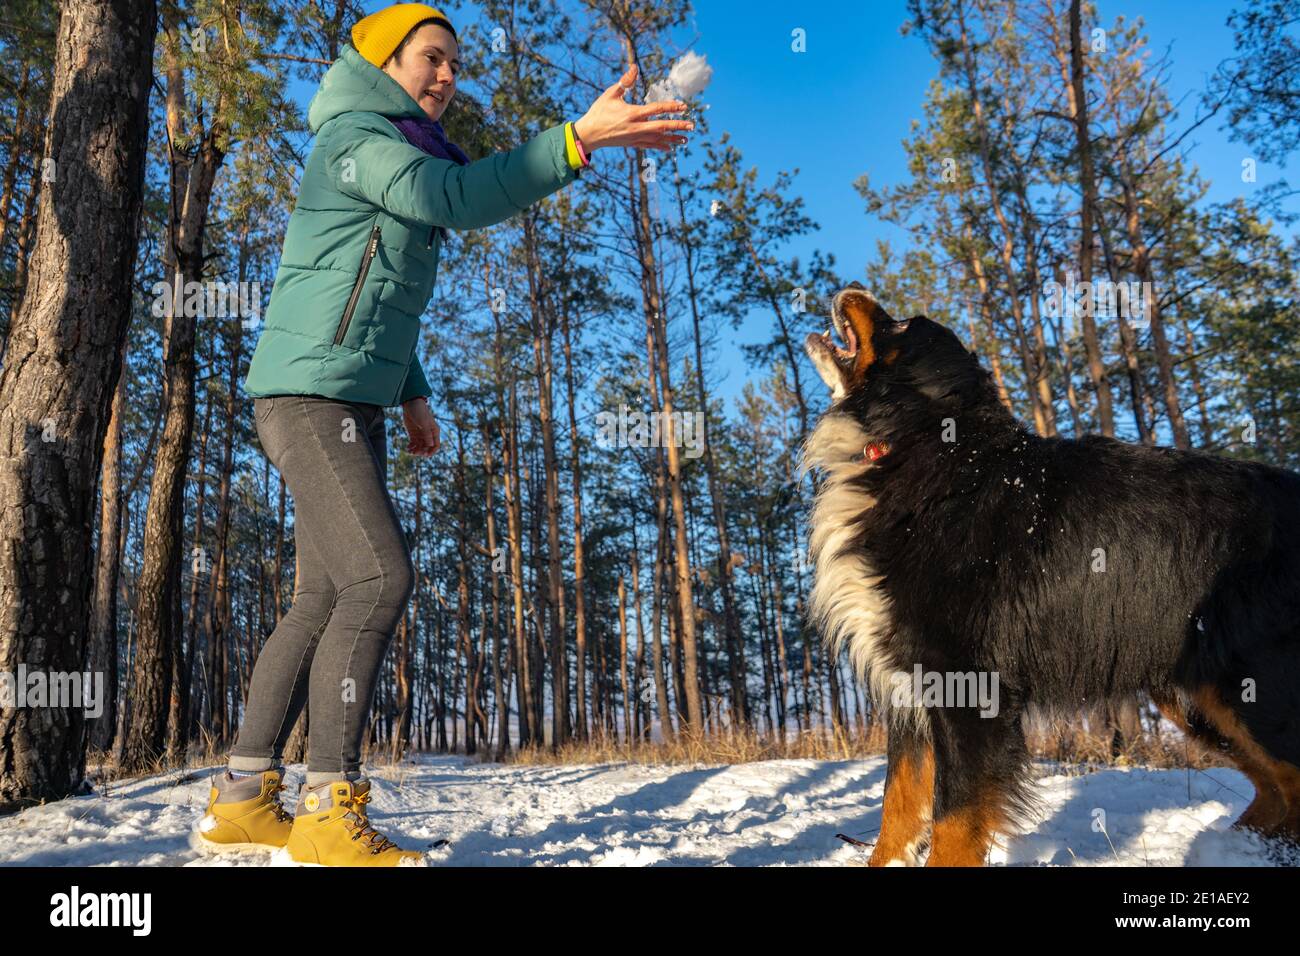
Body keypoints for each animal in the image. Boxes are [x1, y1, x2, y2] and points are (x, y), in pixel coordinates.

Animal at [800, 282, 1300, 868]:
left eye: (899, 325)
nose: (852, 287)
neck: (918, 450)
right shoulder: (907, 684)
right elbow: (897, 810)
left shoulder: (966, 685)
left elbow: (952, 820)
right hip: (1197, 693)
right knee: (1276, 789)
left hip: (1253, 687)